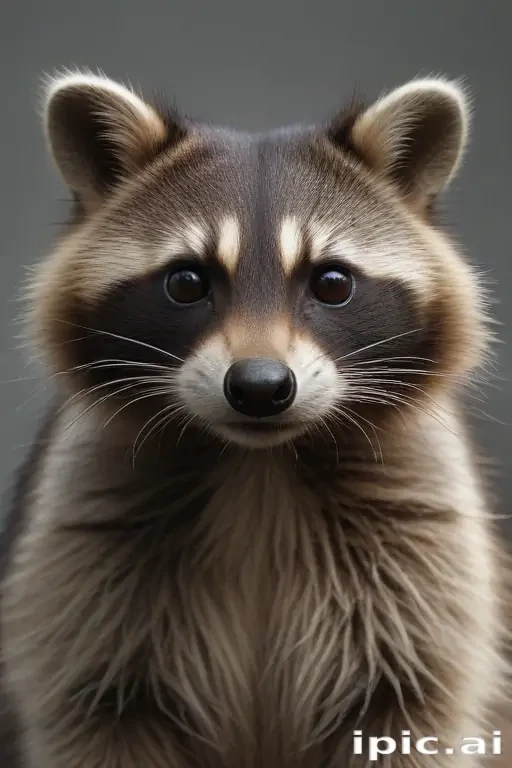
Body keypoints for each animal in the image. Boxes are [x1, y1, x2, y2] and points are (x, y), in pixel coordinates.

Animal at [0, 70, 510, 767]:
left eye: (331, 282)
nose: (261, 389)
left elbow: (414, 711)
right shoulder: (77, 554)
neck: (258, 467)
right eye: (187, 282)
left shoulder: (428, 556)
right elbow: (92, 716)